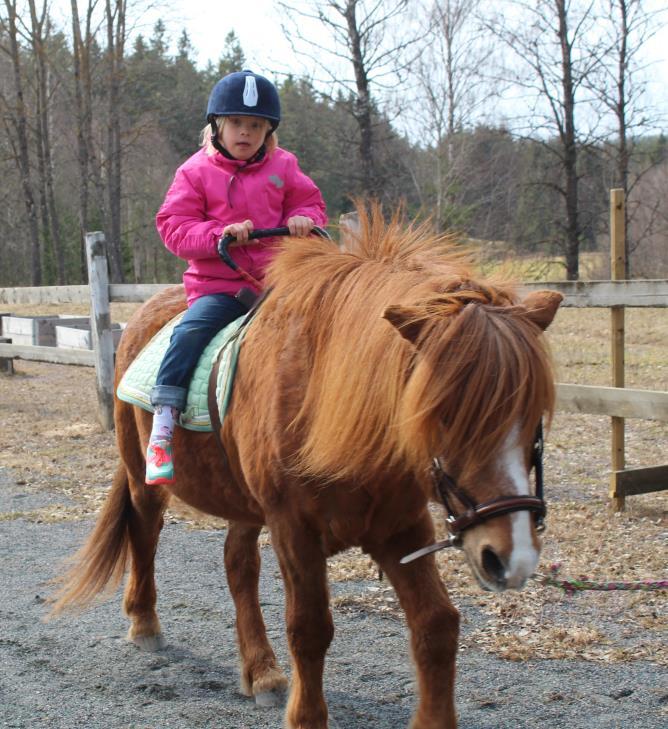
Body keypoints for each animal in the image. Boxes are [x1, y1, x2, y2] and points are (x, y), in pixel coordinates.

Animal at [53, 206, 564, 728]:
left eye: (533, 415)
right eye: (440, 414)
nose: (511, 556)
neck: (324, 403)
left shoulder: (400, 528)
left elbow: (437, 624)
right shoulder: (293, 528)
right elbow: (309, 627)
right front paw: (307, 716)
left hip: (243, 502)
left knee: (238, 565)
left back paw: (261, 671)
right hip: (145, 479)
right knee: (145, 533)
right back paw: (144, 622)